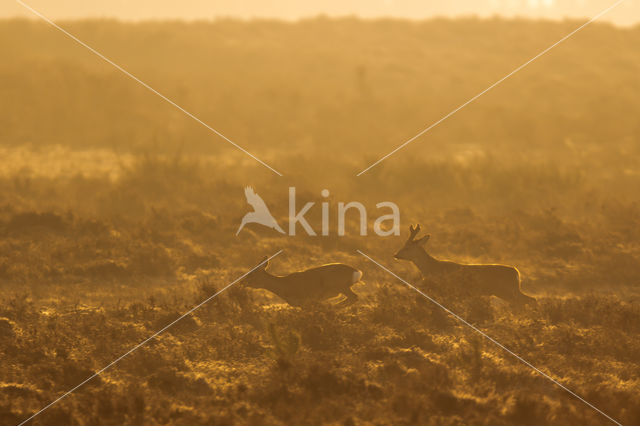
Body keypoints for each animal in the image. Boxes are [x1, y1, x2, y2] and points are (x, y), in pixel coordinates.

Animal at [396, 223, 536, 306]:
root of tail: (516, 272)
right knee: (530, 300)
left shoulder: (445, 290)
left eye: (408, 247)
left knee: (530, 300)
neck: (432, 268)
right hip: (511, 291)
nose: (395, 255)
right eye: (403, 245)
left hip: (507, 291)